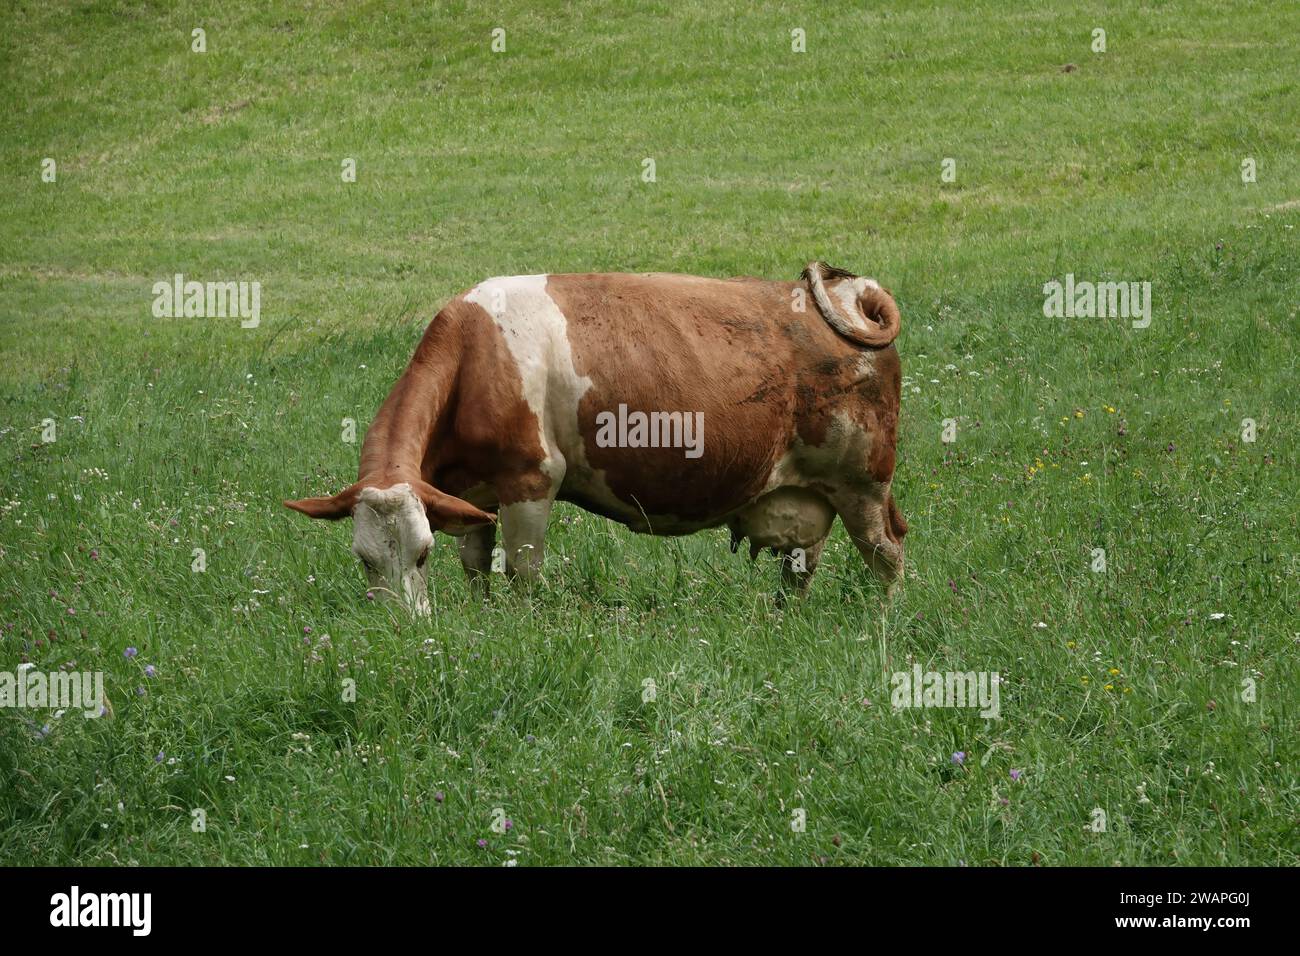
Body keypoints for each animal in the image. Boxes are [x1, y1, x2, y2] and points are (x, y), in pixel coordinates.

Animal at [285, 263, 906, 614]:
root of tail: (850, 292)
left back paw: (881, 622)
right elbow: (476, 565)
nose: (403, 630)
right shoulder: (471, 494)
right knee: (803, 563)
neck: (477, 354)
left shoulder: (530, 481)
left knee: (887, 552)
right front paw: (481, 620)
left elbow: (523, 572)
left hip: (863, 484)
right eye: (364, 560)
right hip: (809, 493)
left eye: (421, 553)